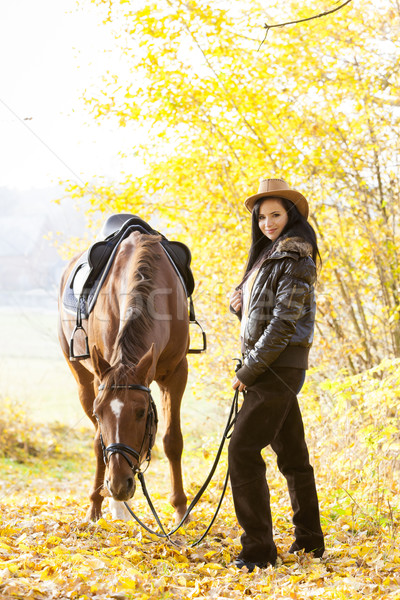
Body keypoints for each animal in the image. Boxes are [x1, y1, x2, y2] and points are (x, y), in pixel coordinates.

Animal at [57, 232, 189, 524]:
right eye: (99, 413)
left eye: (141, 413)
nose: (118, 485)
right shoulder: (99, 379)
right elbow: (99, 443)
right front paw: (97, 505)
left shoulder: (176, 374)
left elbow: (172, 441)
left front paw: (180, 510)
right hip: (83, 381)